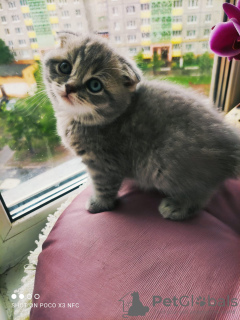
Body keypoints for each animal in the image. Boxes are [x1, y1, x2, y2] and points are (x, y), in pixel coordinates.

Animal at [42, 32, 240, 221]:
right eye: (65, 67)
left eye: (95, 85)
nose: (69, 87)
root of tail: (230, 145)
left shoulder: (104, 163)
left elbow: (103, 186)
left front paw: (99, 204)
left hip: (164, 165)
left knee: (200, 194)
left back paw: (178, 207)